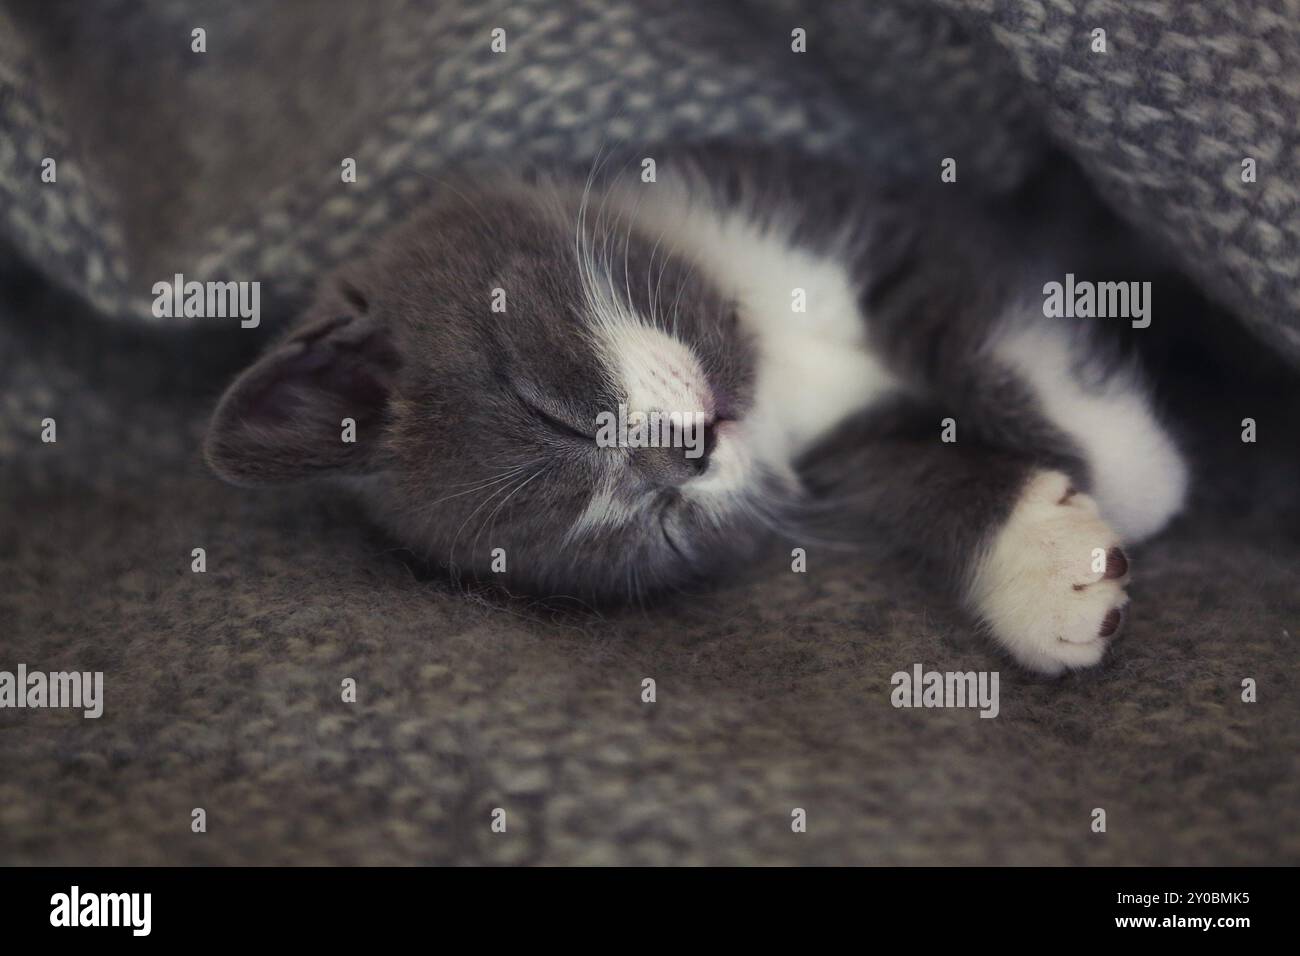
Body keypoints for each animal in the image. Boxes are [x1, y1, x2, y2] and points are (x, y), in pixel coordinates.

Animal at [202, 145, 1190, 676]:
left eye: (548, 406)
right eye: (660, 525)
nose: (689, 455)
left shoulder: (900, 218)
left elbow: (980, 330)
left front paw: (1131, 464)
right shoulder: (834, 450)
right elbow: (911, 472)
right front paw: (1044, 568)